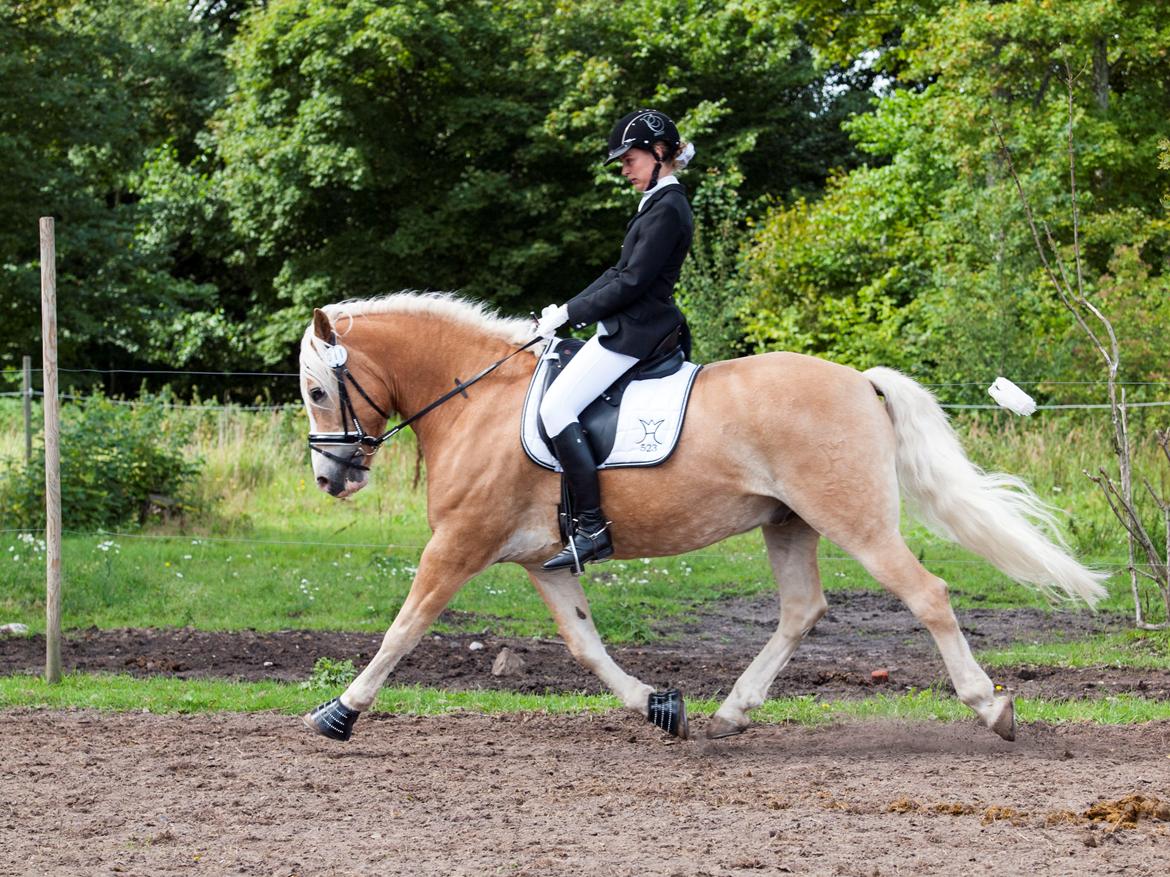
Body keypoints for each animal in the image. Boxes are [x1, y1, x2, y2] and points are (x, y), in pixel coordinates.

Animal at [297, 293, 1109, 743]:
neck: (478, 400)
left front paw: (338, 712)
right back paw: (731, 711)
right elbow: (586, 646)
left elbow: (404, 627)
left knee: (927, 595)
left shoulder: (459, 543)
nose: (331, 478)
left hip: (856, 522)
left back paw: (991, 708)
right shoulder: (541, 561)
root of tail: (859, 380)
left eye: (314, 390)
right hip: (788, 522)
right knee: (801, 610)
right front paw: (660, 705)